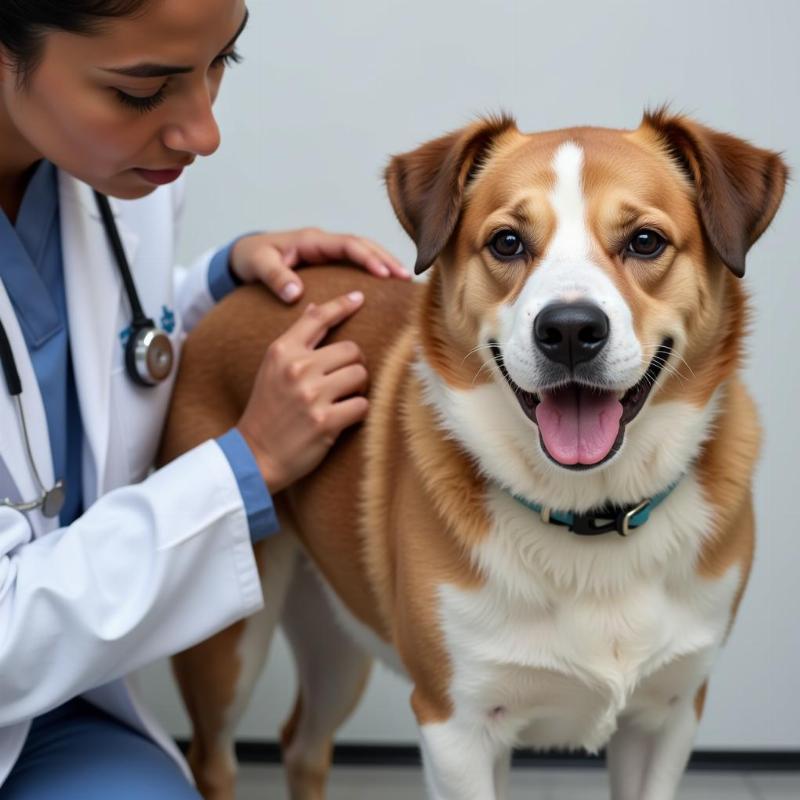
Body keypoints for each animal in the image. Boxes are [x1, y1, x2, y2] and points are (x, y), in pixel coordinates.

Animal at [158, 108, 788, 800]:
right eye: (508, 243)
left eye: (645, 241)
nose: (570, 330)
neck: (588, 517)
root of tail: (252, 292)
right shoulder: (456, 725)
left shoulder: (668, 717)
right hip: (228, 648)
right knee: (215, 758)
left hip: (336, 631)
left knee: (302, 742)